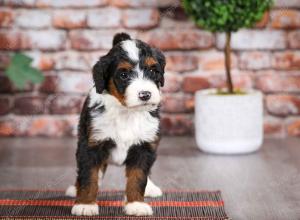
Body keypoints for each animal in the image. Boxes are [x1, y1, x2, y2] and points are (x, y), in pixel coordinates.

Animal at [64, 32, 166, 217]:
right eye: (124, 75)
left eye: (153, 71)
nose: (145, 94)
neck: (126, 112)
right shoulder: (91, 144)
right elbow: (88, 175)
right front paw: (85, 204)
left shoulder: (144, 146)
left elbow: (138, 176)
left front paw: (136, 204)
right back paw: (74, 189)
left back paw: (151, 188)